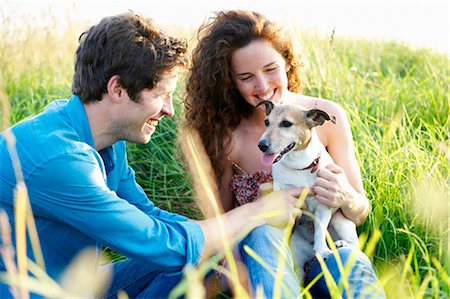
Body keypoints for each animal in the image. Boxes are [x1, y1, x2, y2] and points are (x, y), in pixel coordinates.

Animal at [256, 101, 358, 282]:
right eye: (266, 122)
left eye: (286, 123)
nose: (262, 145)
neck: (299, 167)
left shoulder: (323, 206)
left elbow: (320, 231)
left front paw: (323, 250)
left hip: (341, 222)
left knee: (356, 246)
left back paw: (340, 244)